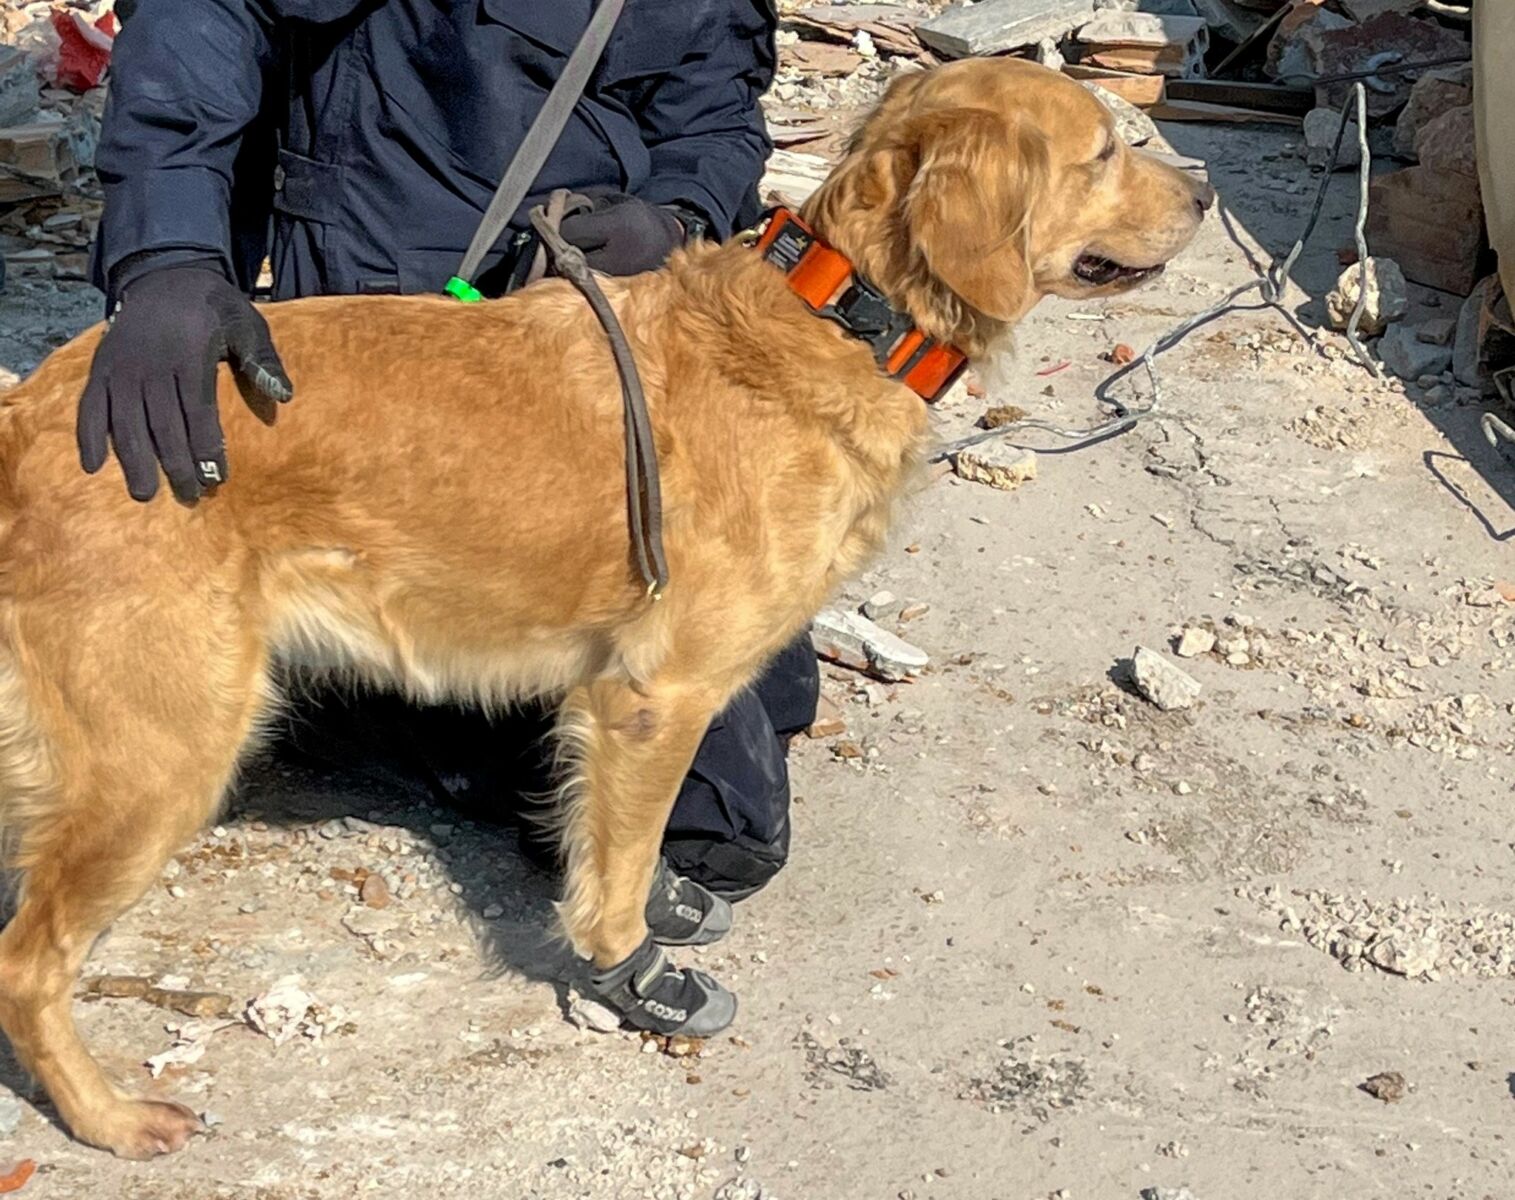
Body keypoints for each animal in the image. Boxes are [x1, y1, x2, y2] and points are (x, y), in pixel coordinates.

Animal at [0, 56, 1205, 1151]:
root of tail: (33, 409)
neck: (835, 319)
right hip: (162, 755)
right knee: (25, 965)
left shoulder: (606, 709)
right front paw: (634, 974)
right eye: (1106, 150)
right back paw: (107, 1118)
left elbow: (614, 839)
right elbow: (620, 872)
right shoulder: (655, 697)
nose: (1202, 195)